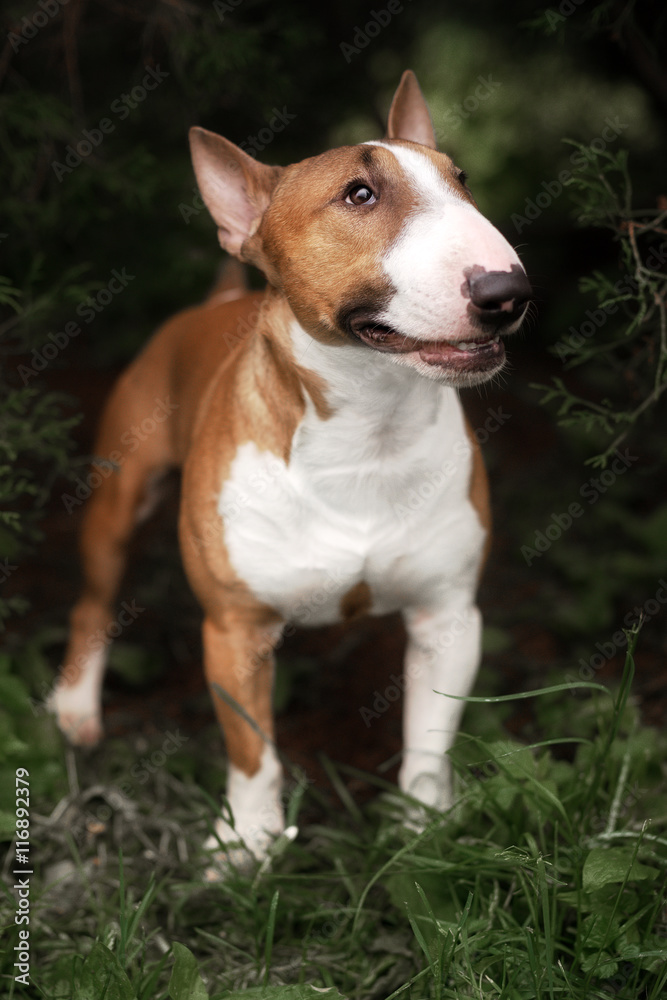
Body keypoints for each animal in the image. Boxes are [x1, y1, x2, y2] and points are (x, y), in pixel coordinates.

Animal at [51, 70, 532, 868]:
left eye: (461, 180)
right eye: (359, 194)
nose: (508, 292)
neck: (369, 429)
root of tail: (217, 299)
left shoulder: (448, 615)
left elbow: (428, 746)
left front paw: (421, 831)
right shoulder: (234, 628)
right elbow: (253, 753)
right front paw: (246, 846)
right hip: (118, 500)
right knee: (92, 601)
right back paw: (75, 708)